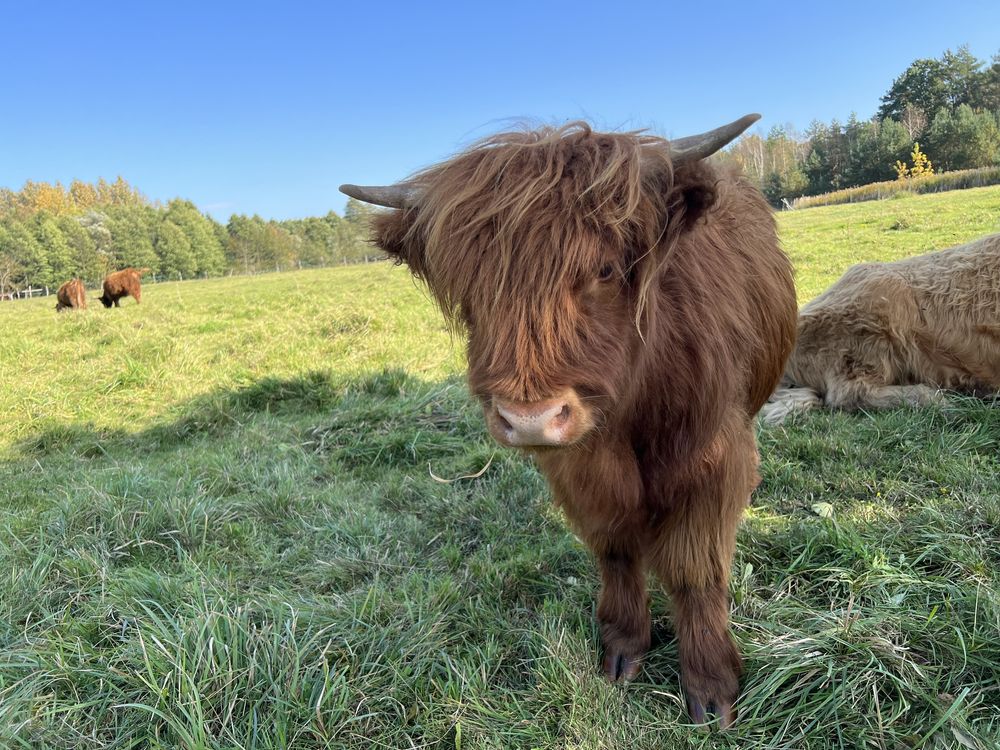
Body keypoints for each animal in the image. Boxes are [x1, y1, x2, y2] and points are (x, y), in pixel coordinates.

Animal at [342, 113, 796, 728]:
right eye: (471, 288)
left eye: (604, 269)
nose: (530, 419)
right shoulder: (581, 468)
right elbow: (615, 545)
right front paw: (623, 645)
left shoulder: (709, 455)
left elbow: (694, 567)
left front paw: (710, 686)